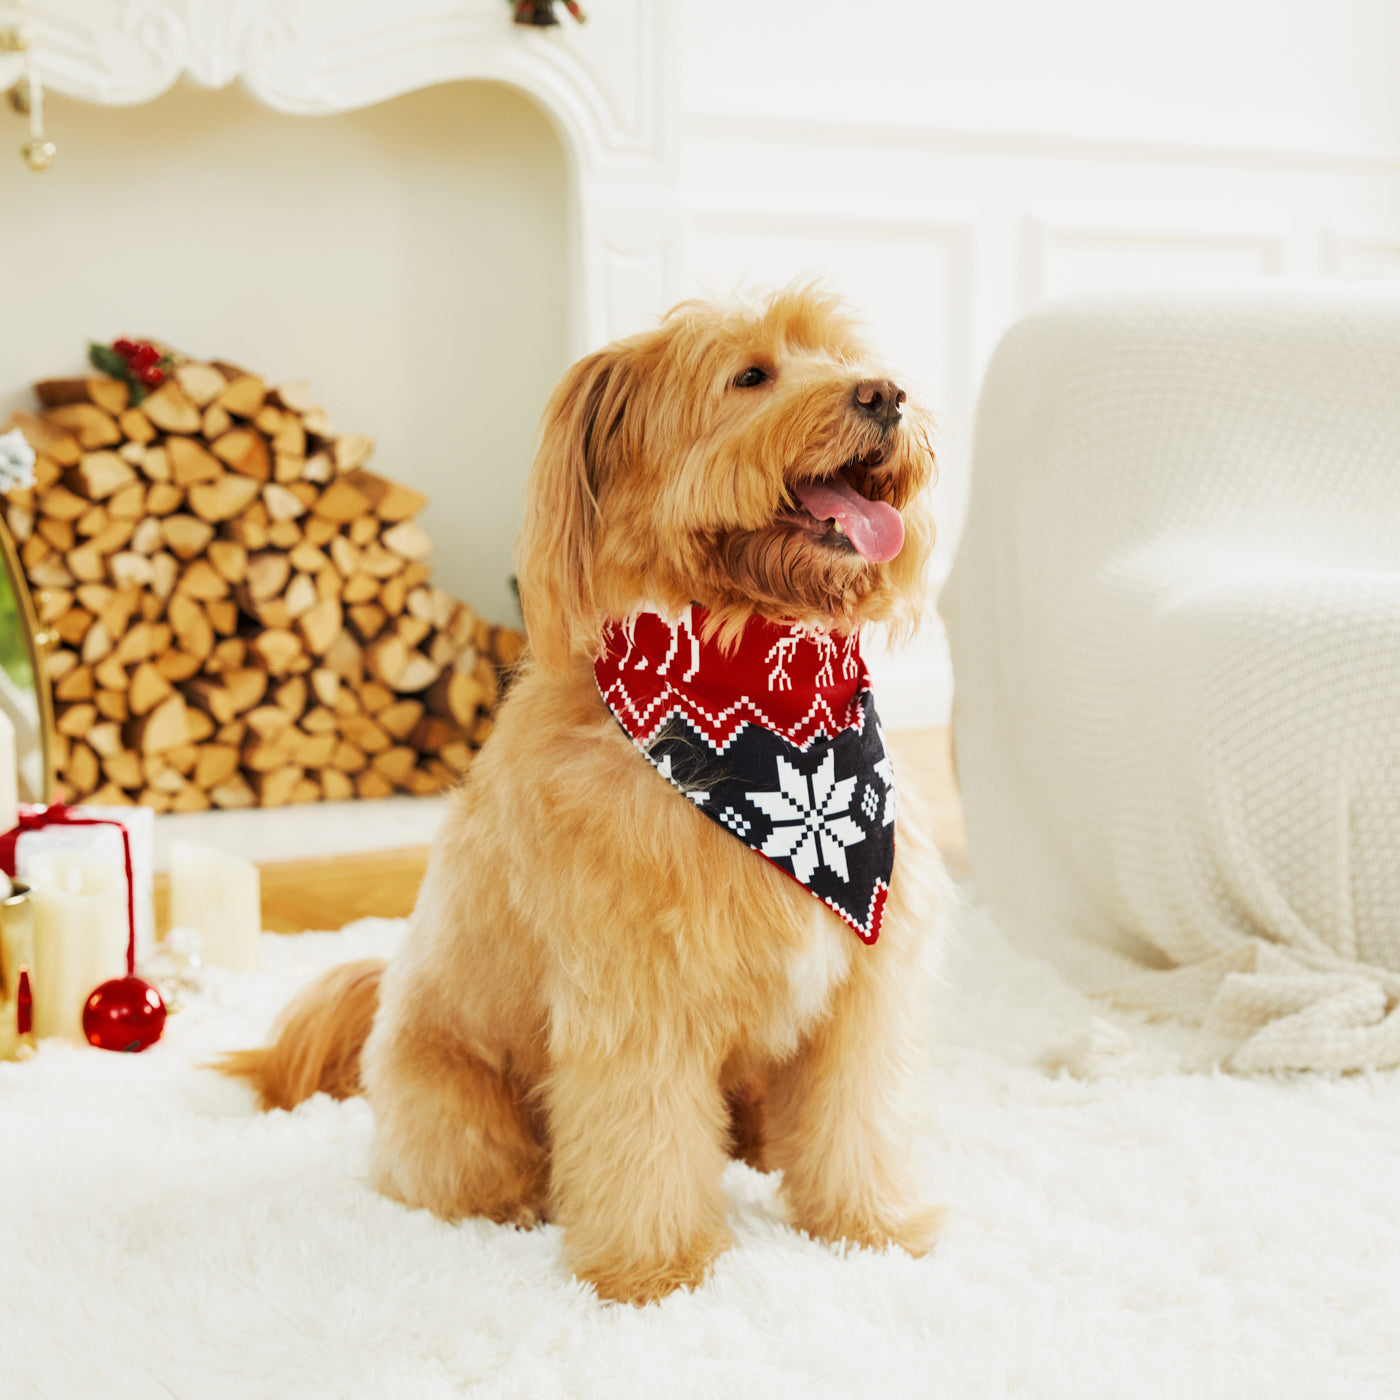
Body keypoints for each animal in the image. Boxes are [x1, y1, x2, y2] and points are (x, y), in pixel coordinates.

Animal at [221, 289, 940, 1304]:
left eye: (843, 358)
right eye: (749, 375)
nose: (886, 394)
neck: (764, 709)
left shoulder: (860, 996)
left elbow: (855, 1125)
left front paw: (868, 1229)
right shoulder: (637, 1006)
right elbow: (645, 1148)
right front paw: (658, 1272)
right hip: (457, 1108)